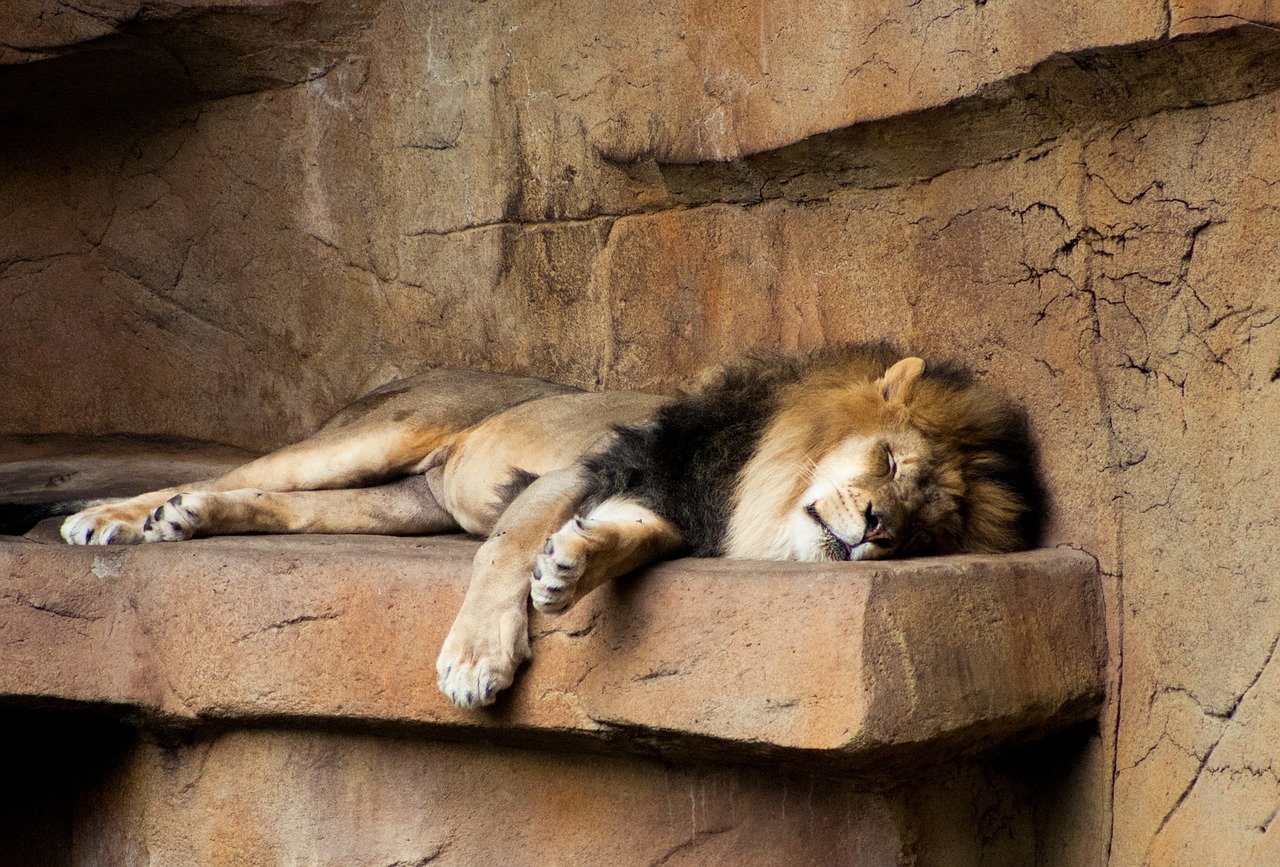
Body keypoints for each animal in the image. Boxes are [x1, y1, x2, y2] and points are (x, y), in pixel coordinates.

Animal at [7, 340, 1039, 706]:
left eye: (926, 527)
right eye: (894, 465)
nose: (875, 530)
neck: (756, 488)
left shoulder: (655, 504)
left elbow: (616, 543)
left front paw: (570, 566)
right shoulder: (588, 467)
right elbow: (504, 545)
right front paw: (477, 658)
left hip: (398, 505)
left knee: (281, 503)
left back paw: (185, 517)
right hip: (381, 434)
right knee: (247, 469)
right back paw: (111, 516)